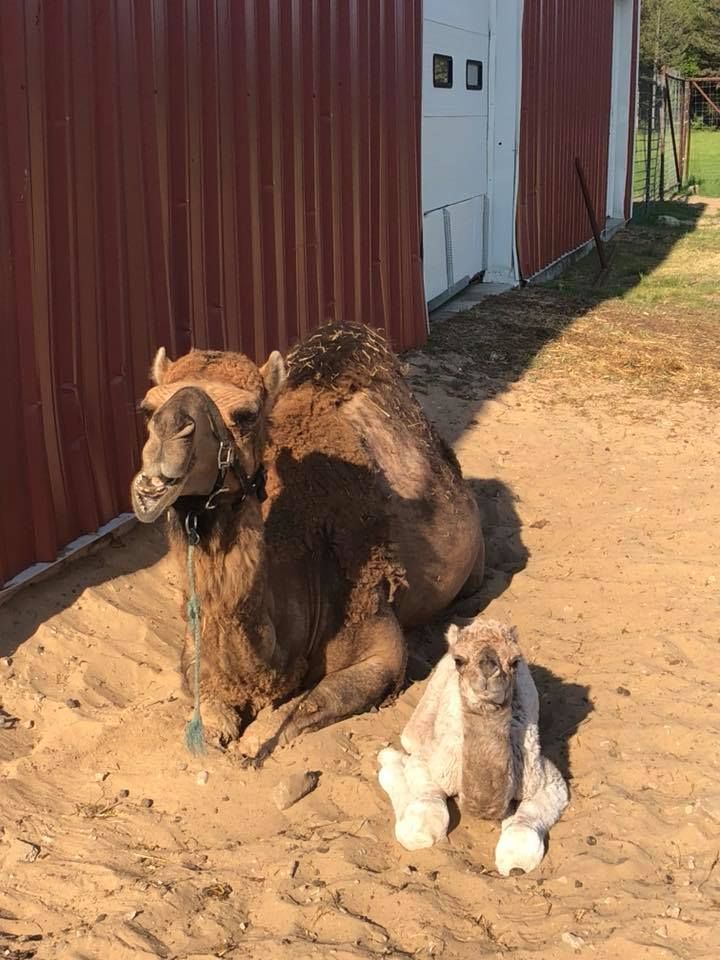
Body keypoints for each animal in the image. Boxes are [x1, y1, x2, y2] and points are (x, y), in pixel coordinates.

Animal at [131, 324, 484, 758]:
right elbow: (207, 704)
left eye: (246, 416)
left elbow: (302, 707)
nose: (168, 436)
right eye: (147, 409)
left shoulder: (379, 641)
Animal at [378, 618, 568, 875]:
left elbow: (522, 838)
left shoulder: (545, 778)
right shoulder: (434, 761)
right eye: (459, 660)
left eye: (514, 661)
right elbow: (422, 826)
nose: (488, 668)